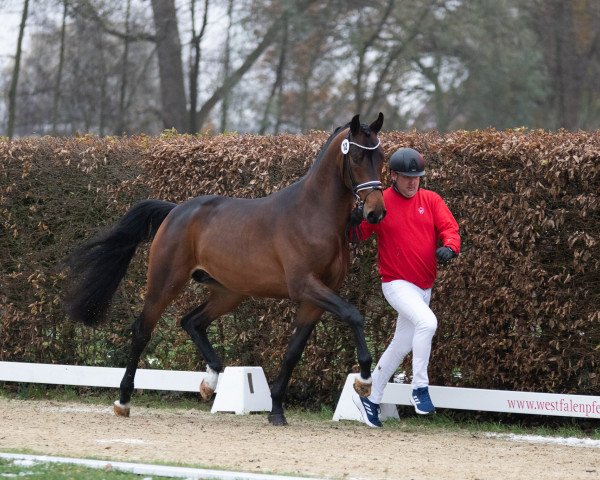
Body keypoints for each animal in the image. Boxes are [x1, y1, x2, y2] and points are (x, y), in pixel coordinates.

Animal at [65, 111, 384, 424]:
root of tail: (175, 211)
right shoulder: (305, 285)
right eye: (357, 157)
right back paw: (123, 401)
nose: (375, 212)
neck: (313, 214)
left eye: (380, 157)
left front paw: (276, 411)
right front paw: (364, 380)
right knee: (143, 330)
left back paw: (210, 382)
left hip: (229, 292)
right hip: (166, 283)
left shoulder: (316, 297)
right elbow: (353, 315)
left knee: (192, 322)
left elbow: (293, 352)